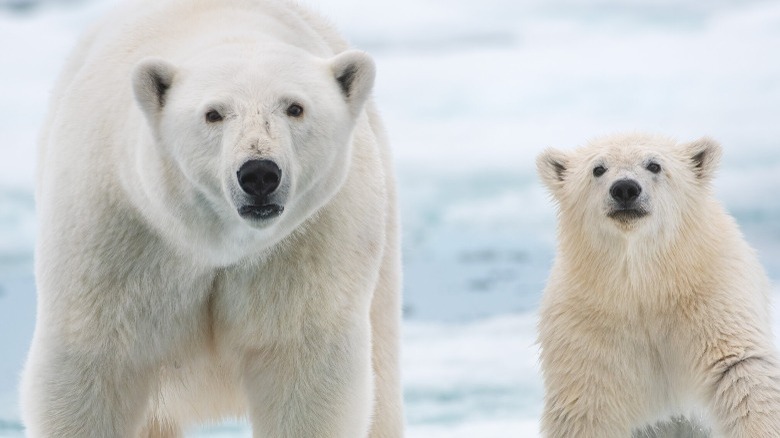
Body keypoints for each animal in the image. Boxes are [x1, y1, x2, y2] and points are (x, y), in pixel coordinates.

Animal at [22, 0, 406, 438]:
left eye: (295, 107)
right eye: (214, 113)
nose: (259, 173)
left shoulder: (310, 246)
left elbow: (306, 374)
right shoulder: (118, 236)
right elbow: (92, 368)